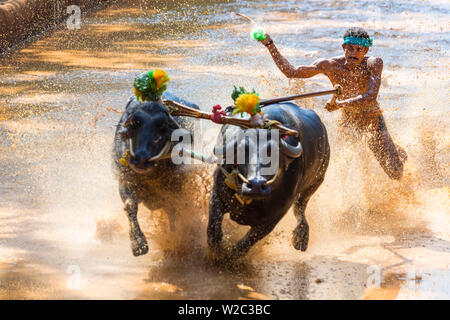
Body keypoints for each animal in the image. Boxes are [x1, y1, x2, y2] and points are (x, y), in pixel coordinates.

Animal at [112, 91, 199, 256]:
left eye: (162, 126)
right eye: (135, 123)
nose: (141, 159)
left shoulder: (177, 189)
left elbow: (173, 212)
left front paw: (174, 240)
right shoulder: (124, 180)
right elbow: (130, 205)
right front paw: (138, 244)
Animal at [207, 102, 330, 258]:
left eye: (272, 152)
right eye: (242, 150)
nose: (256, 185)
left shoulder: (271, 220)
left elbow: (244, 245)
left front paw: (228, 257)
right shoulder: (216, 194)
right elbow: (213, 231)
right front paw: (217, 252)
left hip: (315, 182)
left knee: (300, 208)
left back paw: (301, 238)